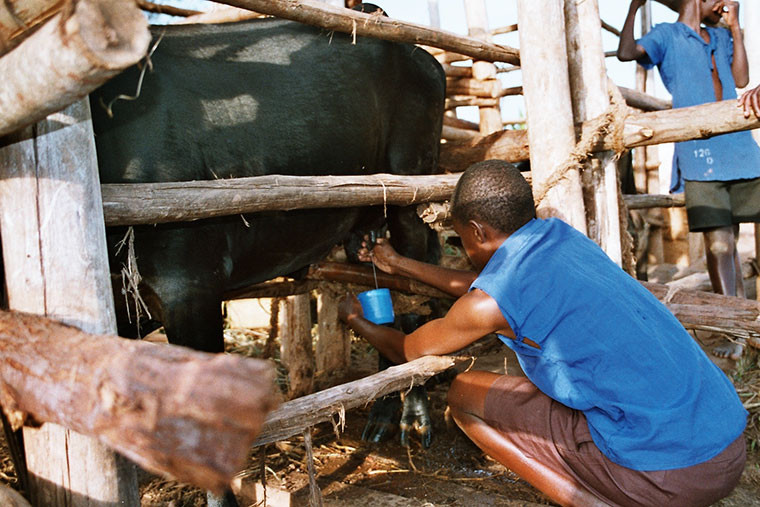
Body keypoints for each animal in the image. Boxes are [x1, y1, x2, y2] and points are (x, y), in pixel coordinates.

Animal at [89, 4, 446, 496]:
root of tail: (420, 53)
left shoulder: (189, 283)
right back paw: (379, 416)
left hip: (411, 183)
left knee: (415, 282)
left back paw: (414, 418)